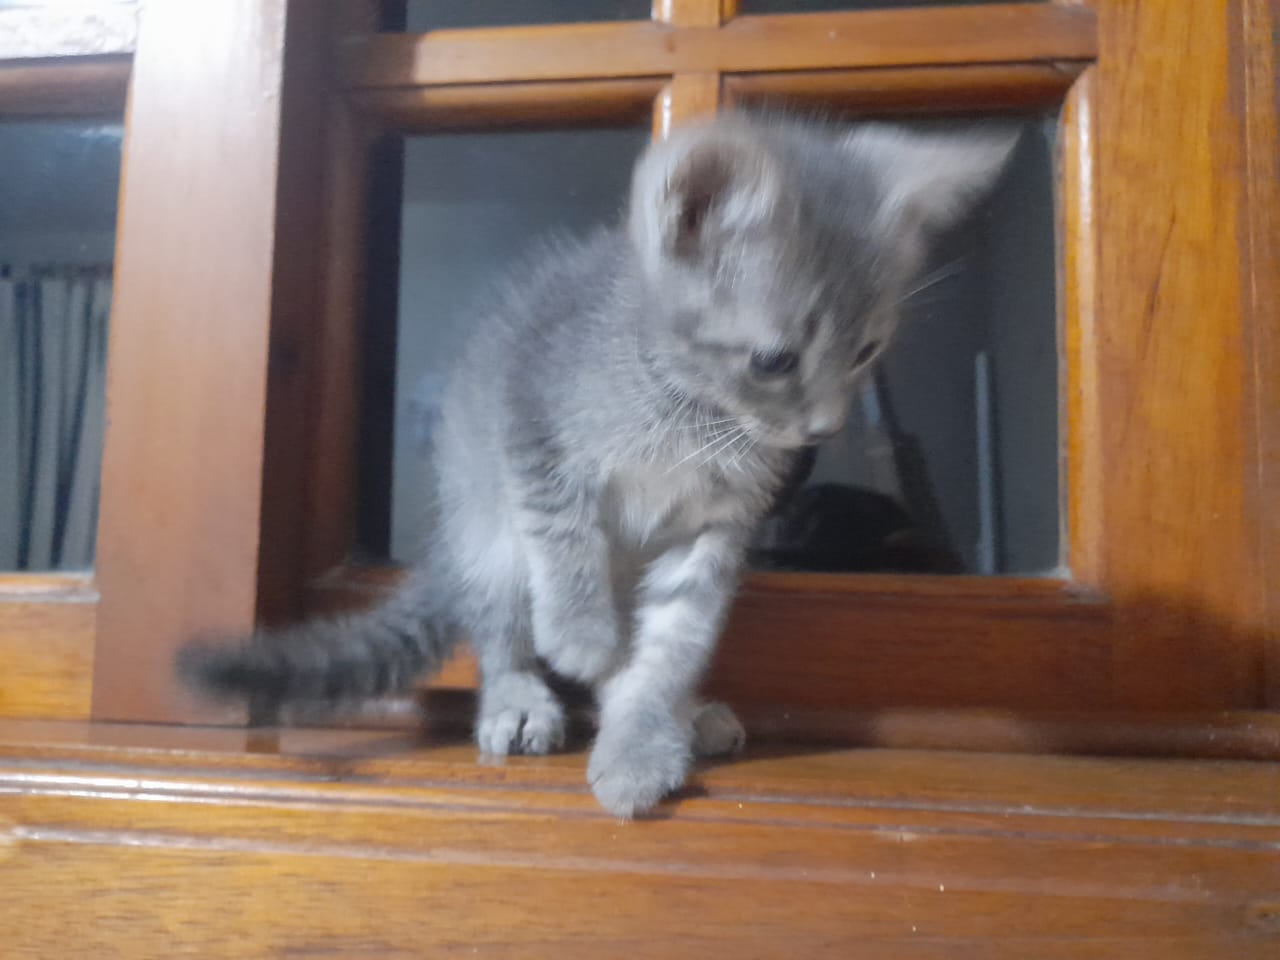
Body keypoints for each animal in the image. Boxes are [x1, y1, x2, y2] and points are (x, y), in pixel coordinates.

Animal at [178, 112, 1016, 817]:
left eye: (867, 351)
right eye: (774, 361)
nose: (825, 426)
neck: (688, 408)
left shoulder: (713, 532)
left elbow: (672, 642)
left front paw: (641, 738)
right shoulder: (528, 419)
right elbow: (563, 533)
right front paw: (578, 632)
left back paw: (681, 714)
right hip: (484, 521)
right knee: (503, 621)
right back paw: (519, 694)